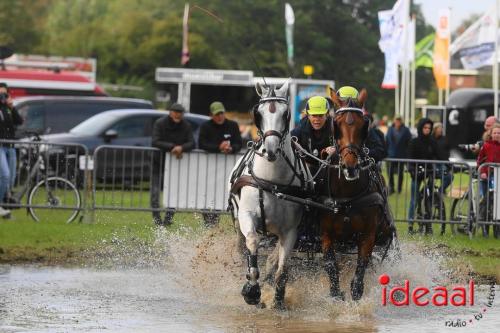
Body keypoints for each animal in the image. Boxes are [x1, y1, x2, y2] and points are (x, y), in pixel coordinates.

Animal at [320, 87, 394, 300]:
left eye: (364, 125)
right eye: (336, 124)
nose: (350, 167)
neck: (347, 196)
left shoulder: (367, 235)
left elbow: (361, 270)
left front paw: (356, 293)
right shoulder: (326, 234)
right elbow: (331, 266)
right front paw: (336, 294)